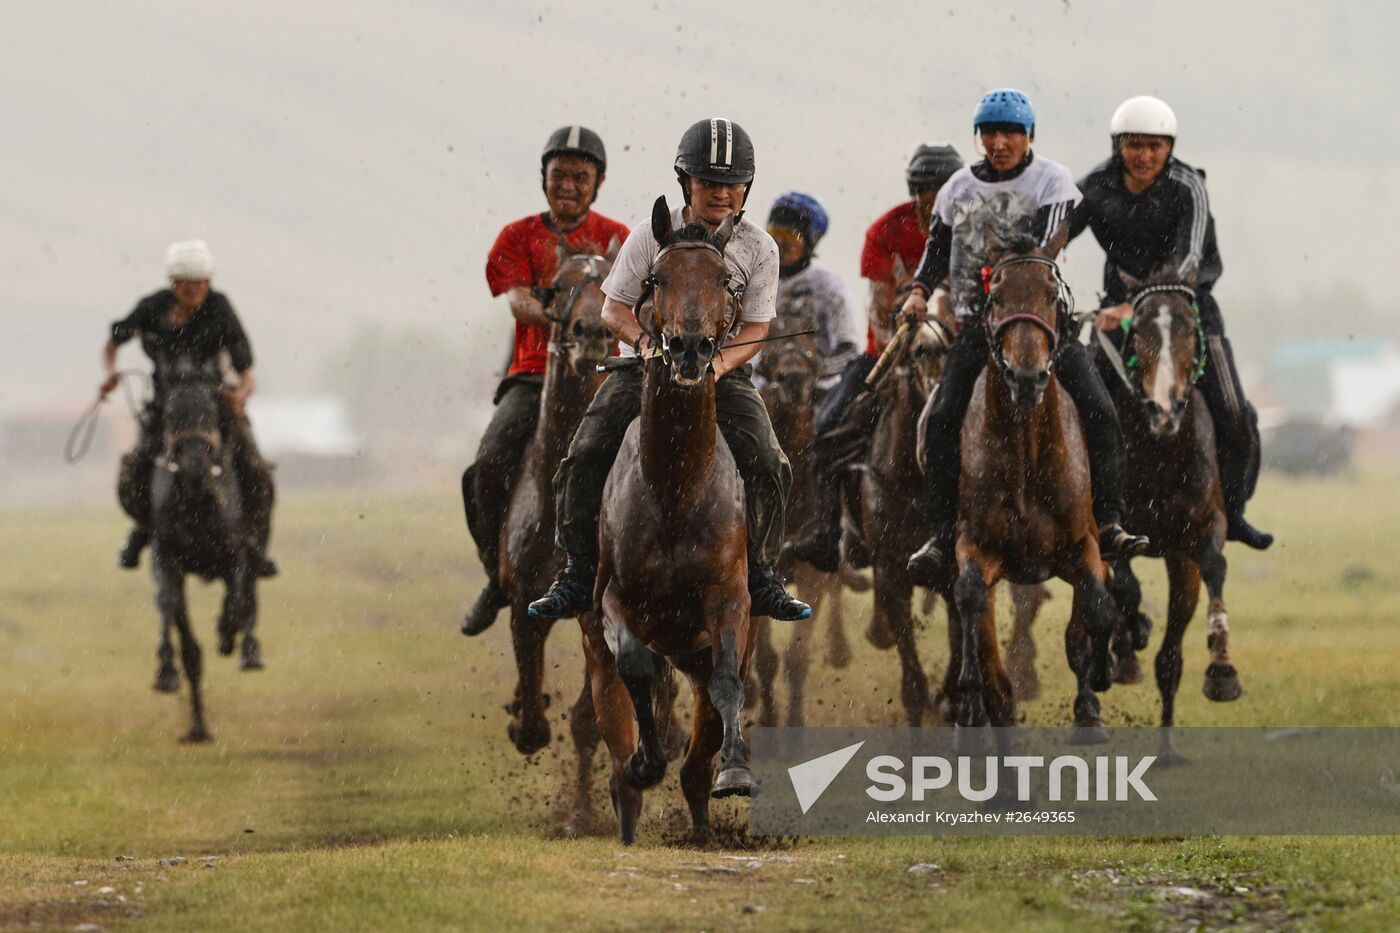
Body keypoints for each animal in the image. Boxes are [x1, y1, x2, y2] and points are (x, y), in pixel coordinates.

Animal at [146, 355, 261, 739]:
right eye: (169, 415)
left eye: (210, 412)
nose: (194, 467)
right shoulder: (169, 562)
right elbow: (184, 638)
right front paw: (196, 727)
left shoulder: (235, 554)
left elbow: (238, 601)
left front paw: (227, 634)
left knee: (249, 594)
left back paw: (247, 650)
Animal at [579, 200, 756, 846]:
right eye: (655, 279)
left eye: (727, 281)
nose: (688, 349)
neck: (676, 487)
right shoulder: (614, 599)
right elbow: (635, 667)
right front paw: (645, 761)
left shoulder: (731, 600)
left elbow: (730, 682)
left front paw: (736, 771)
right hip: (597, 647)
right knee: (618, 715)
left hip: (697, 652)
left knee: (699, 752)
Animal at [935, 236, 1120, 745]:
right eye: (996, 298)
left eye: (1051, 297)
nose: (1026, 377)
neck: (1025, 456)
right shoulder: (974, 545)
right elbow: (970, 597)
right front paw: (970, 705)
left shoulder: (1083, 545)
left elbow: (1098, 606)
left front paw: (1094, 694)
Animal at [1092, 268, 1248, 756]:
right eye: (1137, 331)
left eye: (1189, 330)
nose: (1165, 407)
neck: (1159, 446)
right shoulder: (1110, 528)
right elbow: (1123, 583)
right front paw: (1128, 642)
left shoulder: (1201, 530)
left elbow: (1214, 565)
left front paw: (1222, 670)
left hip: (1180, 564)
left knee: (1170, 657)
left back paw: (1165, 750)